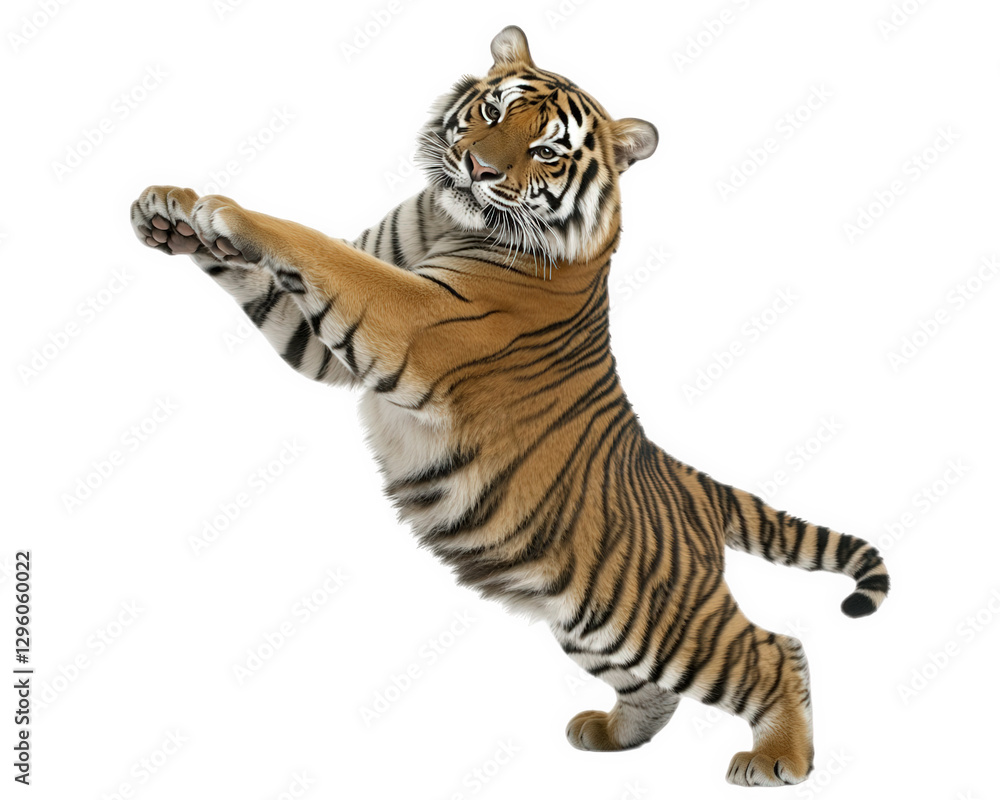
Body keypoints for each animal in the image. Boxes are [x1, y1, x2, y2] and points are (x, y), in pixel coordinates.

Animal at [129, 25, 889, 787]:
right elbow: (271, 277)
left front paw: (225, 211)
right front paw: (171, 210)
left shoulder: (414, 320)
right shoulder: (325, 339)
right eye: (493, 112)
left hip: (661, 614)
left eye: (547, 151)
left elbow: (315, 248)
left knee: (773, 649)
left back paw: (780, 759)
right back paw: (611, 737)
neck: (445, 216)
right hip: (594, 619)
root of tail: (684, 478)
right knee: (658, 688)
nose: (478, 168)